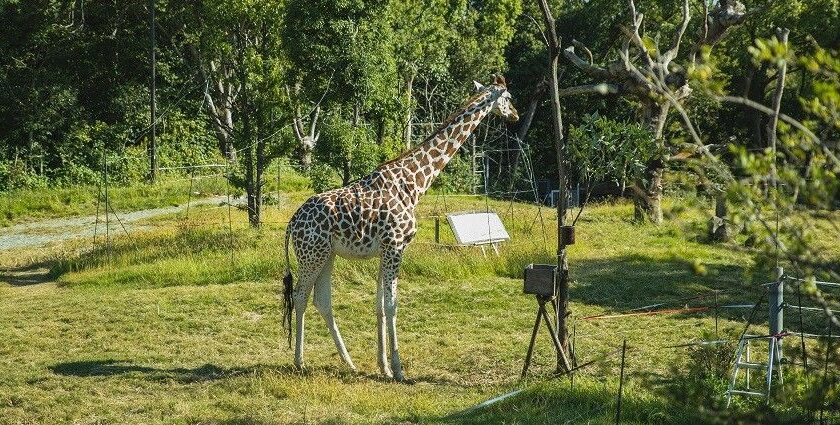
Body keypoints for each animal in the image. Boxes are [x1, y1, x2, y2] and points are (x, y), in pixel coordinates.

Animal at [284, 73, 520, 380]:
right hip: (311, 254)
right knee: (300, 296)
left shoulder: (385, 249)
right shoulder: (396, 245)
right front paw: (398, 369)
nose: (515, 115)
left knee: (321, 301)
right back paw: (299, 362)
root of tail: (292, 223)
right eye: (508, 98)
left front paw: (382, 366)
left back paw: (348, 362)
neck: (414, 183)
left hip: (327, 254)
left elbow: (380, 307)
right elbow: (392, 305)